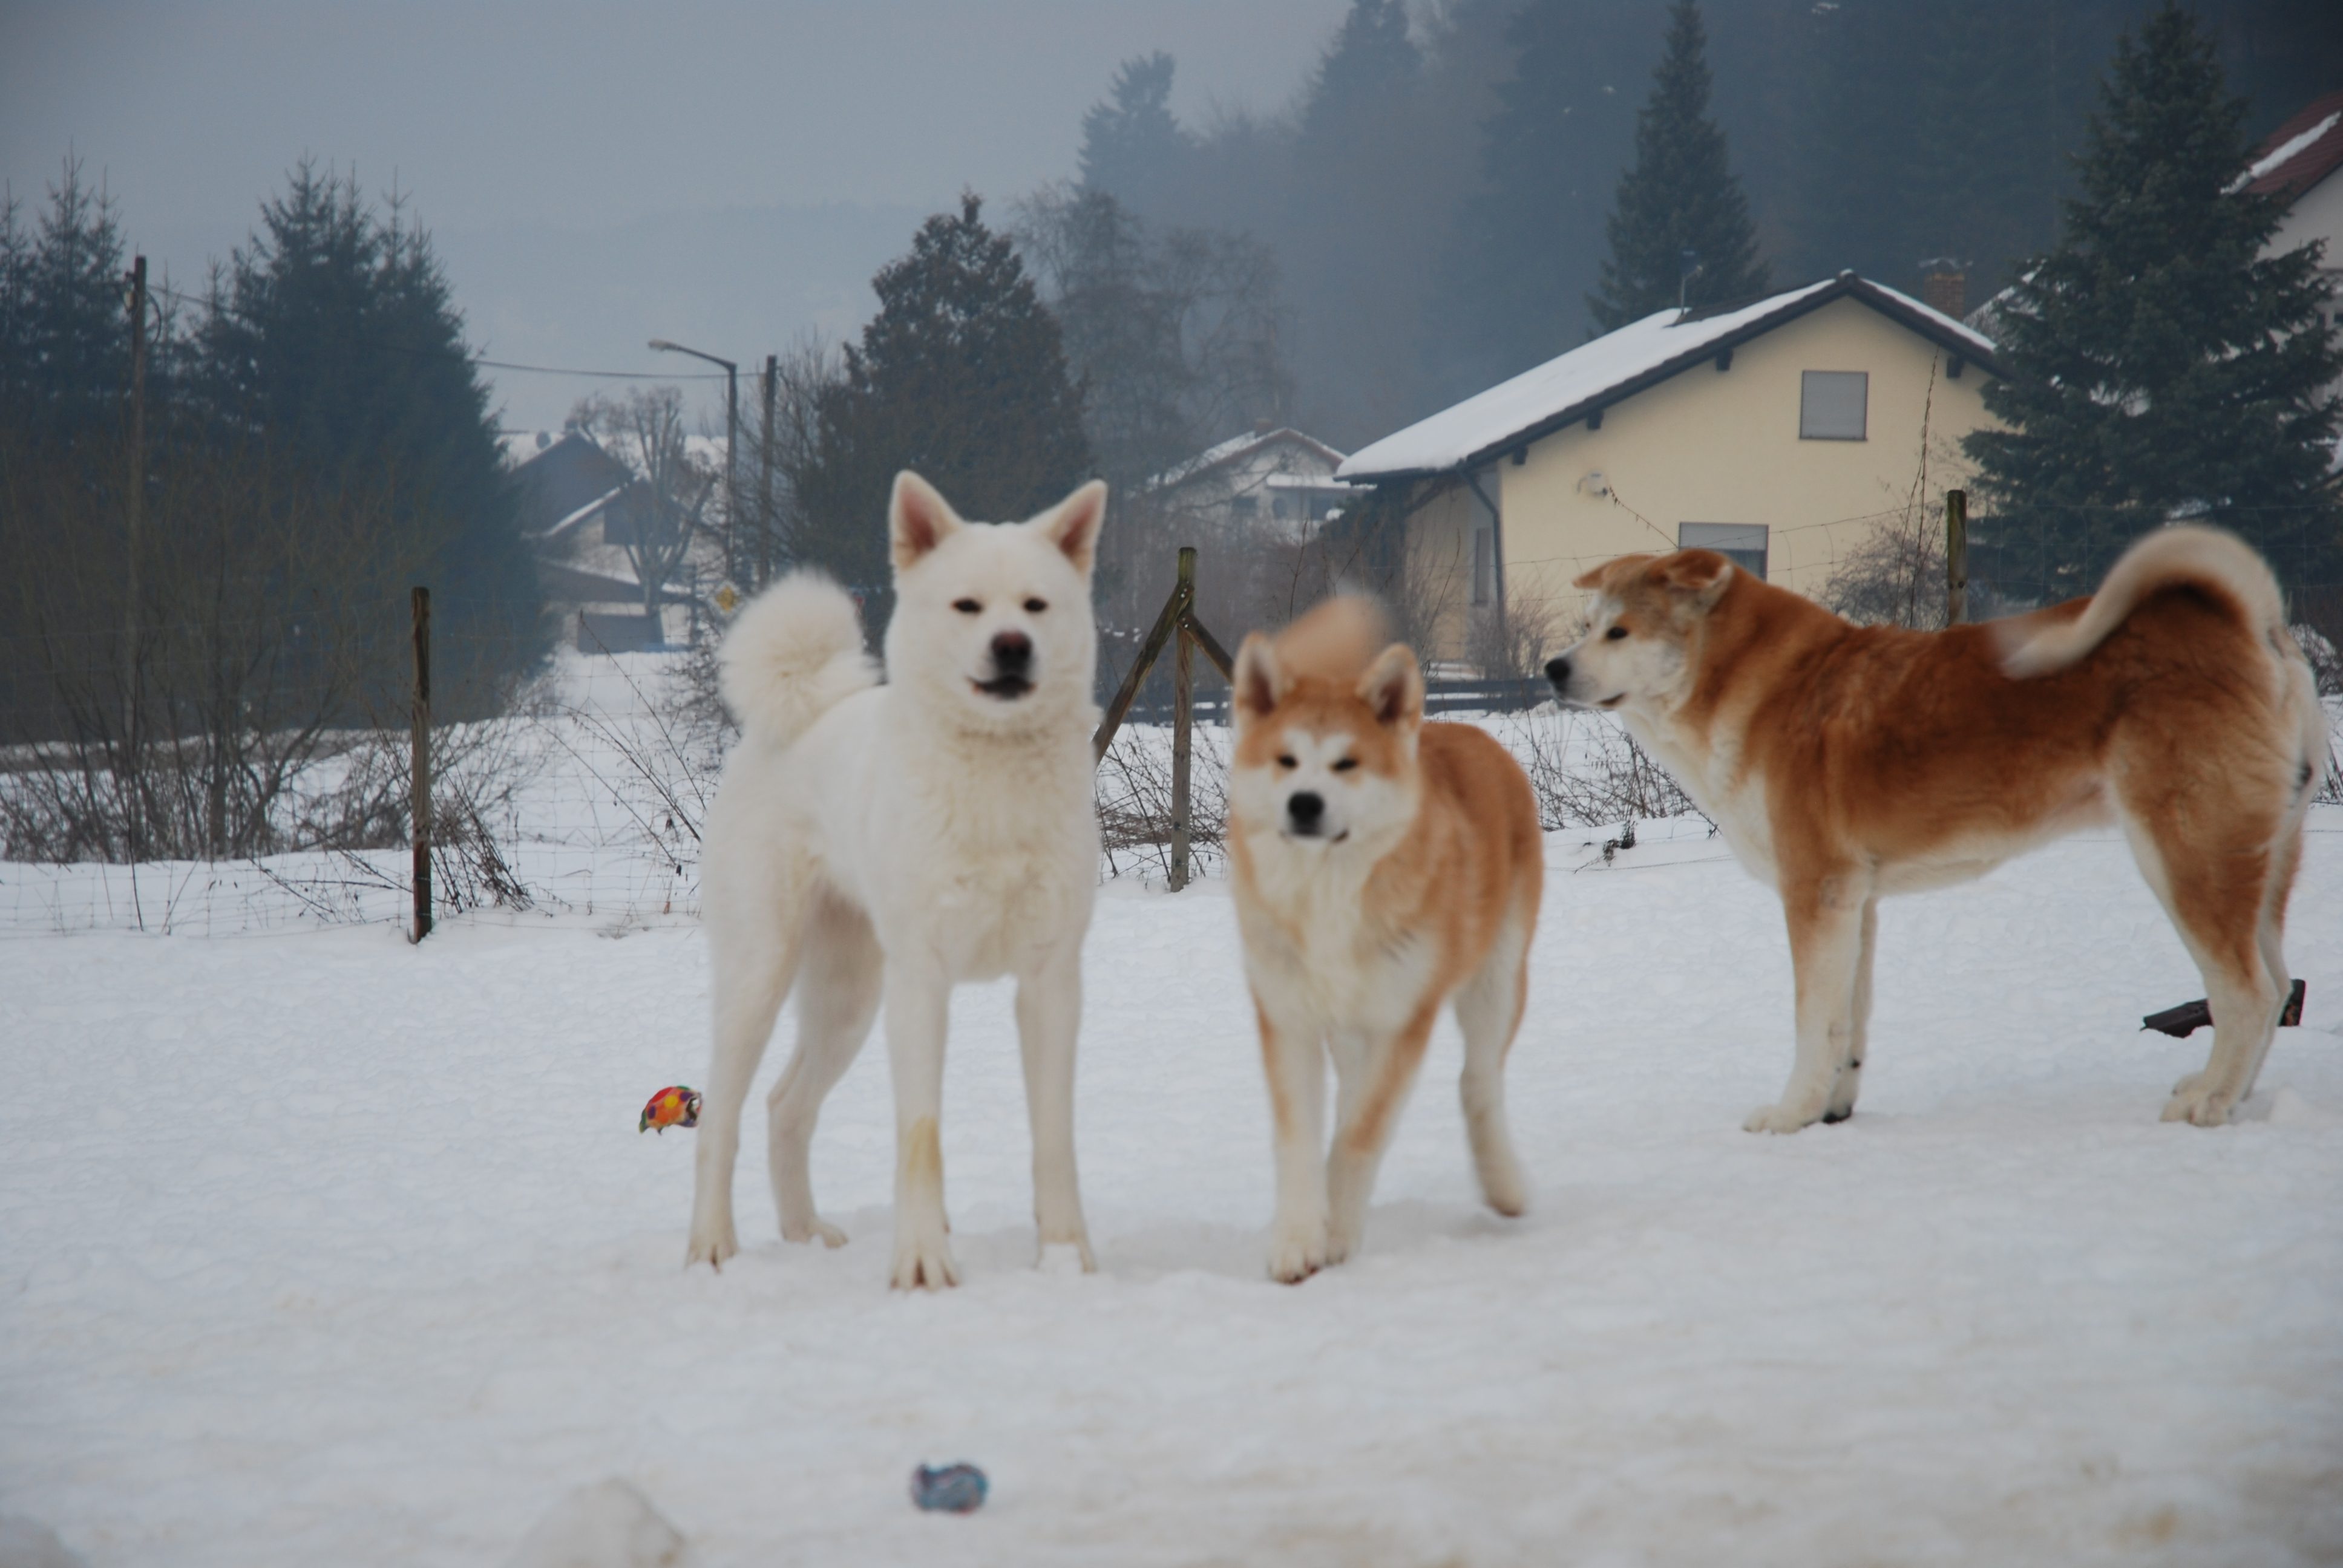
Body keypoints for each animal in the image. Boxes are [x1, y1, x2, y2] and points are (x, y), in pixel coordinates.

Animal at [684, 471, 1106, 1293]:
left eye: (1036, 606)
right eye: (967, 606)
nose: (1012, 646)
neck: (993, 776)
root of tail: (792, 716)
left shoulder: (1051, 984)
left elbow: (1055, 1138)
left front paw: (1066, 1260)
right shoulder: (921, 981)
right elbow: (920, 1133)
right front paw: (921, 1263)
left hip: (847, 1000)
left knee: (784, 1106)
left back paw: (805, 1236)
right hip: (761, 975)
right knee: (720, 1117)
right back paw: (711, 1248)